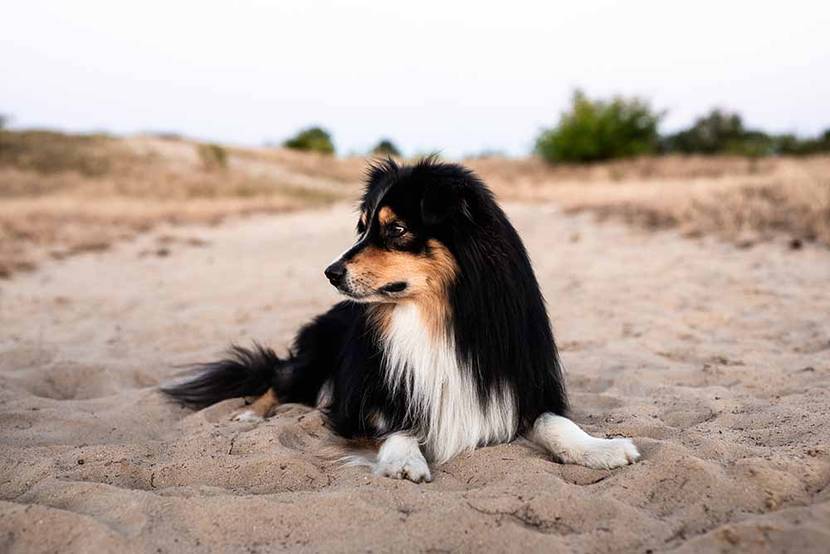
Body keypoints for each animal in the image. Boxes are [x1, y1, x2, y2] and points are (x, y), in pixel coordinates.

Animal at [164, 155, 644, 478]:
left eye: (396, 230)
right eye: (362, 228)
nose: (330, 272)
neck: (432, 320)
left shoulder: (517, 382)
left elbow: (556, 423)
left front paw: (599, 449)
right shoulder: (365, 401)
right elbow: (397, 426)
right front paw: (404, 459)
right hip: (312, 364)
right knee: (278, 379)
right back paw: (249, 415)